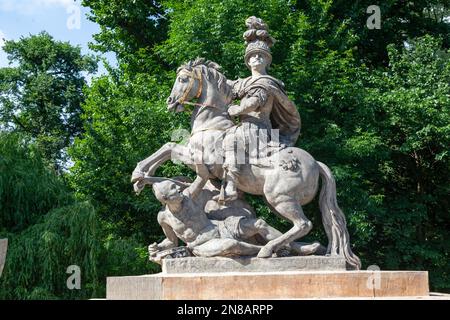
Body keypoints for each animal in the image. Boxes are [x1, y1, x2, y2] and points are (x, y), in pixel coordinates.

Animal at [132, 58, 360, 270]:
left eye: (182, 79)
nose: (170, 102)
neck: (211, 123)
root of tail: (316, 163)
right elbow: (168, 149)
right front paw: (142, 178)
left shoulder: (196, 157)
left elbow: (169, 147)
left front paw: (138, 174)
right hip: (277, 202)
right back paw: (302, 249)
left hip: (280, 198)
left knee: (303, 224)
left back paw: (268, 250)